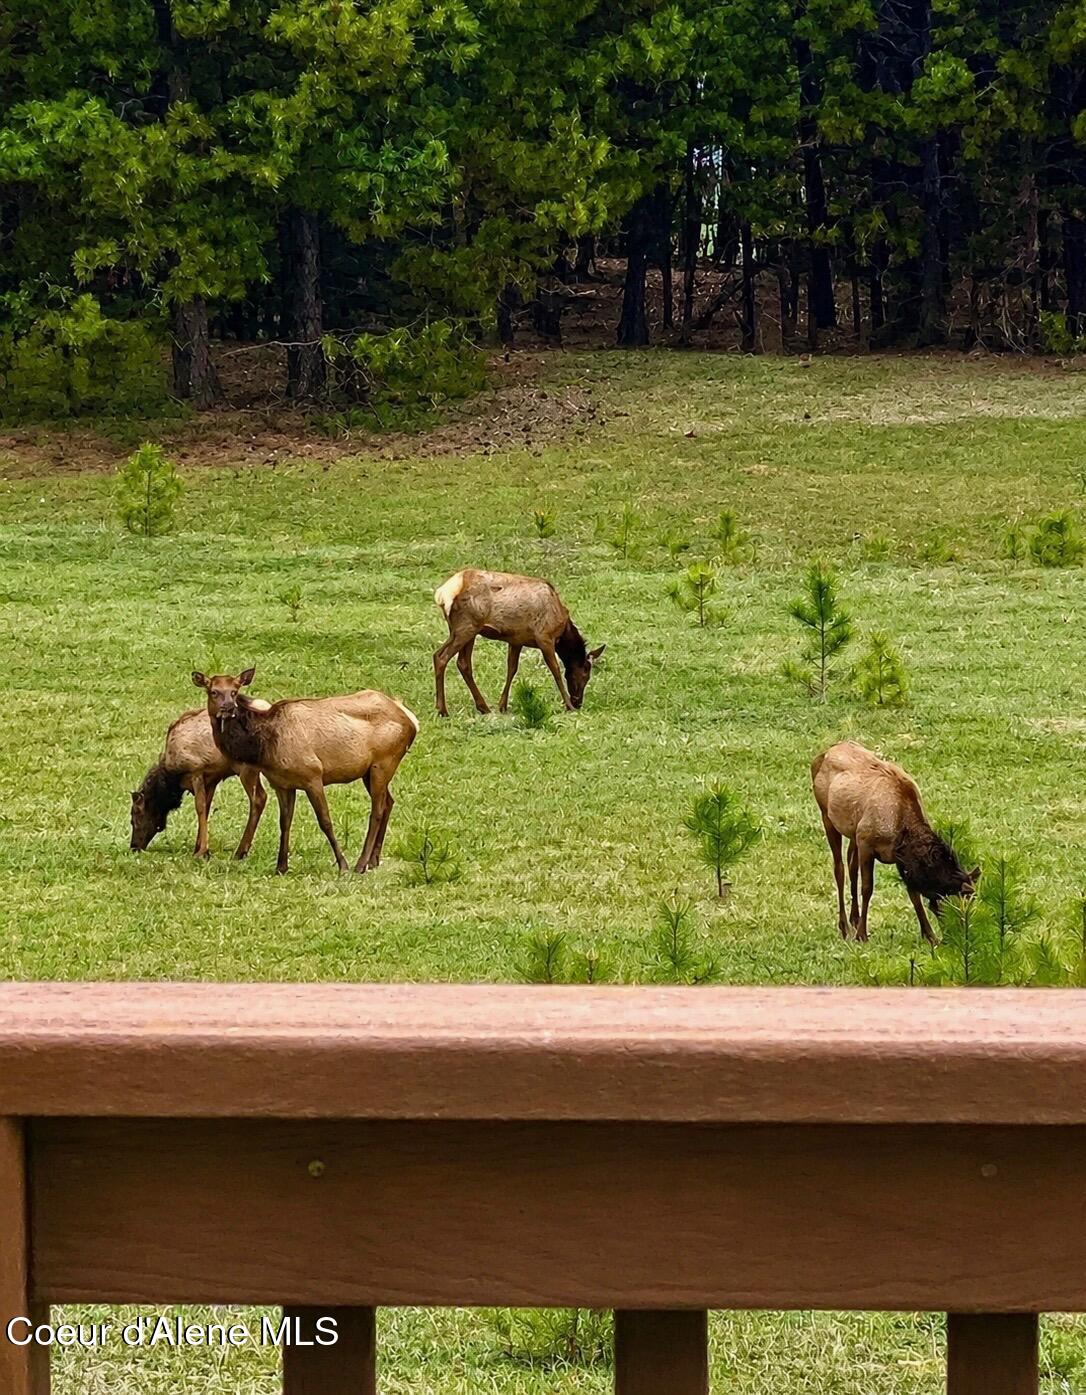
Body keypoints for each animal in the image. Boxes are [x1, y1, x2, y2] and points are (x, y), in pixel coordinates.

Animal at [130, 707, 268, 859]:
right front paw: (198, 847)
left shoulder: (196, 771)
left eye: (135, 815)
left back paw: (241, 851)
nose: (133, 846)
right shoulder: (212, 779)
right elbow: (206, 808)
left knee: (259, 798)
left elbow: (200, 807)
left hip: (245, 767)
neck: (172, 778)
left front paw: (202, 852)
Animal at [192, 667, 418, 875]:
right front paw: (281, 866)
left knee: (377, 809)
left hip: (384, 762)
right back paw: (373, 861)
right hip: (368, 772)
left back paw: (360, 864)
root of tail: (412, 720)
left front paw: (342, 865)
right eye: (213, 691)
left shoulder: (313, 775)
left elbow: (325, 821)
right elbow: (284, 822)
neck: (264, 748)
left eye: (235, 690)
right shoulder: (281, 784)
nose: (227, 708)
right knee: (389, 802)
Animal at [433, 568, 604, 717]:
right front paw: (568, 706)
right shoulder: (545, 637)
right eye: (586, 673)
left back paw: (483, 707)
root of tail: (443, 593)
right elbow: (555, 669)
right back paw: (443, 710)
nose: (578, 703)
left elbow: (512, 668)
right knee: (441, 657)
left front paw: (502, 706)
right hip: (466, 627)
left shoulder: (516, 640)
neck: (562, 633)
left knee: (461, 662)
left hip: (466, 630)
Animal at [811, 740, 979, 944]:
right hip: (827, 817)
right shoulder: (866, 843)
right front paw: (862, 935)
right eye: (961, 905)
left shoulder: (898, 855)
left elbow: (914, 895)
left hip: (852, 831)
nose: (966, 935)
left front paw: (930, 936)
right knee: (840, 869)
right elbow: (867, 888)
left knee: (851, 866)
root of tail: (822, 755)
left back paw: (854, 918)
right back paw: (845, 927)